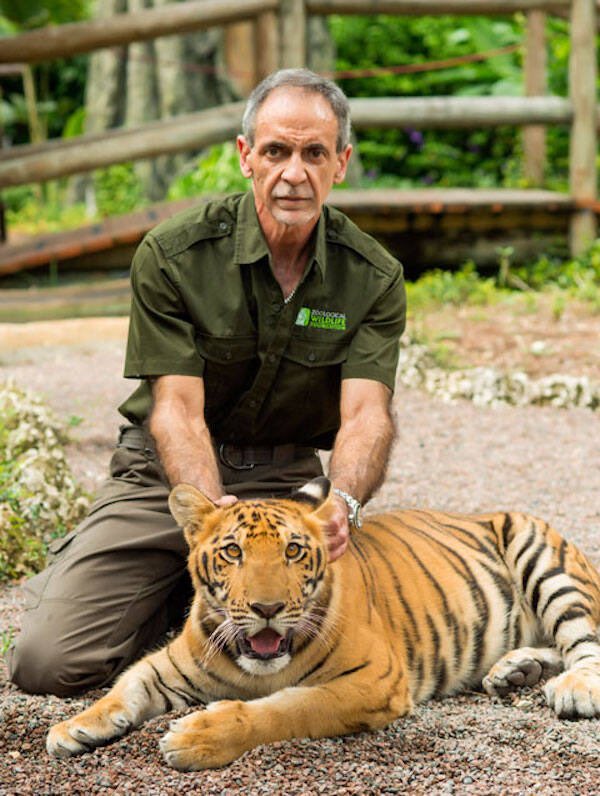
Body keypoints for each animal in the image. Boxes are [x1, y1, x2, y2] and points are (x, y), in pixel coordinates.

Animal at [47, 477, 600, 770]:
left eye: (293, 551)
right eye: (232, 552)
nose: (267, 607)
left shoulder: (374, 679)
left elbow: (290, 707)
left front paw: (198, 736)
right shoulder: (169, 663)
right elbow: (125, 686)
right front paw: (73, 727)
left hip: (544, 559)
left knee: (584, 642)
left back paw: (573, 690)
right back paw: (516, 670)